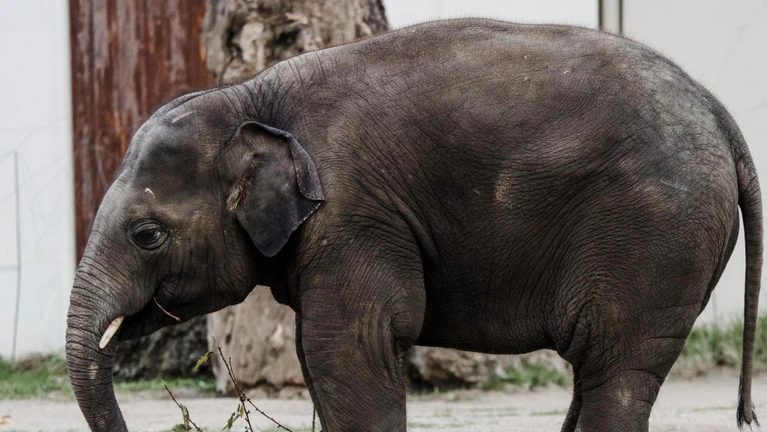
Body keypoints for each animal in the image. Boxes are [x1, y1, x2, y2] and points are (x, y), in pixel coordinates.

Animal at [66, 19, 762, 432]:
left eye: (147, 235)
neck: (249, 99)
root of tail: (722, 117)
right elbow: (320, 354)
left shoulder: (355, 214)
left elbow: (349, 345)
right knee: (597, 370)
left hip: (655, 233)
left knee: (615, 367)